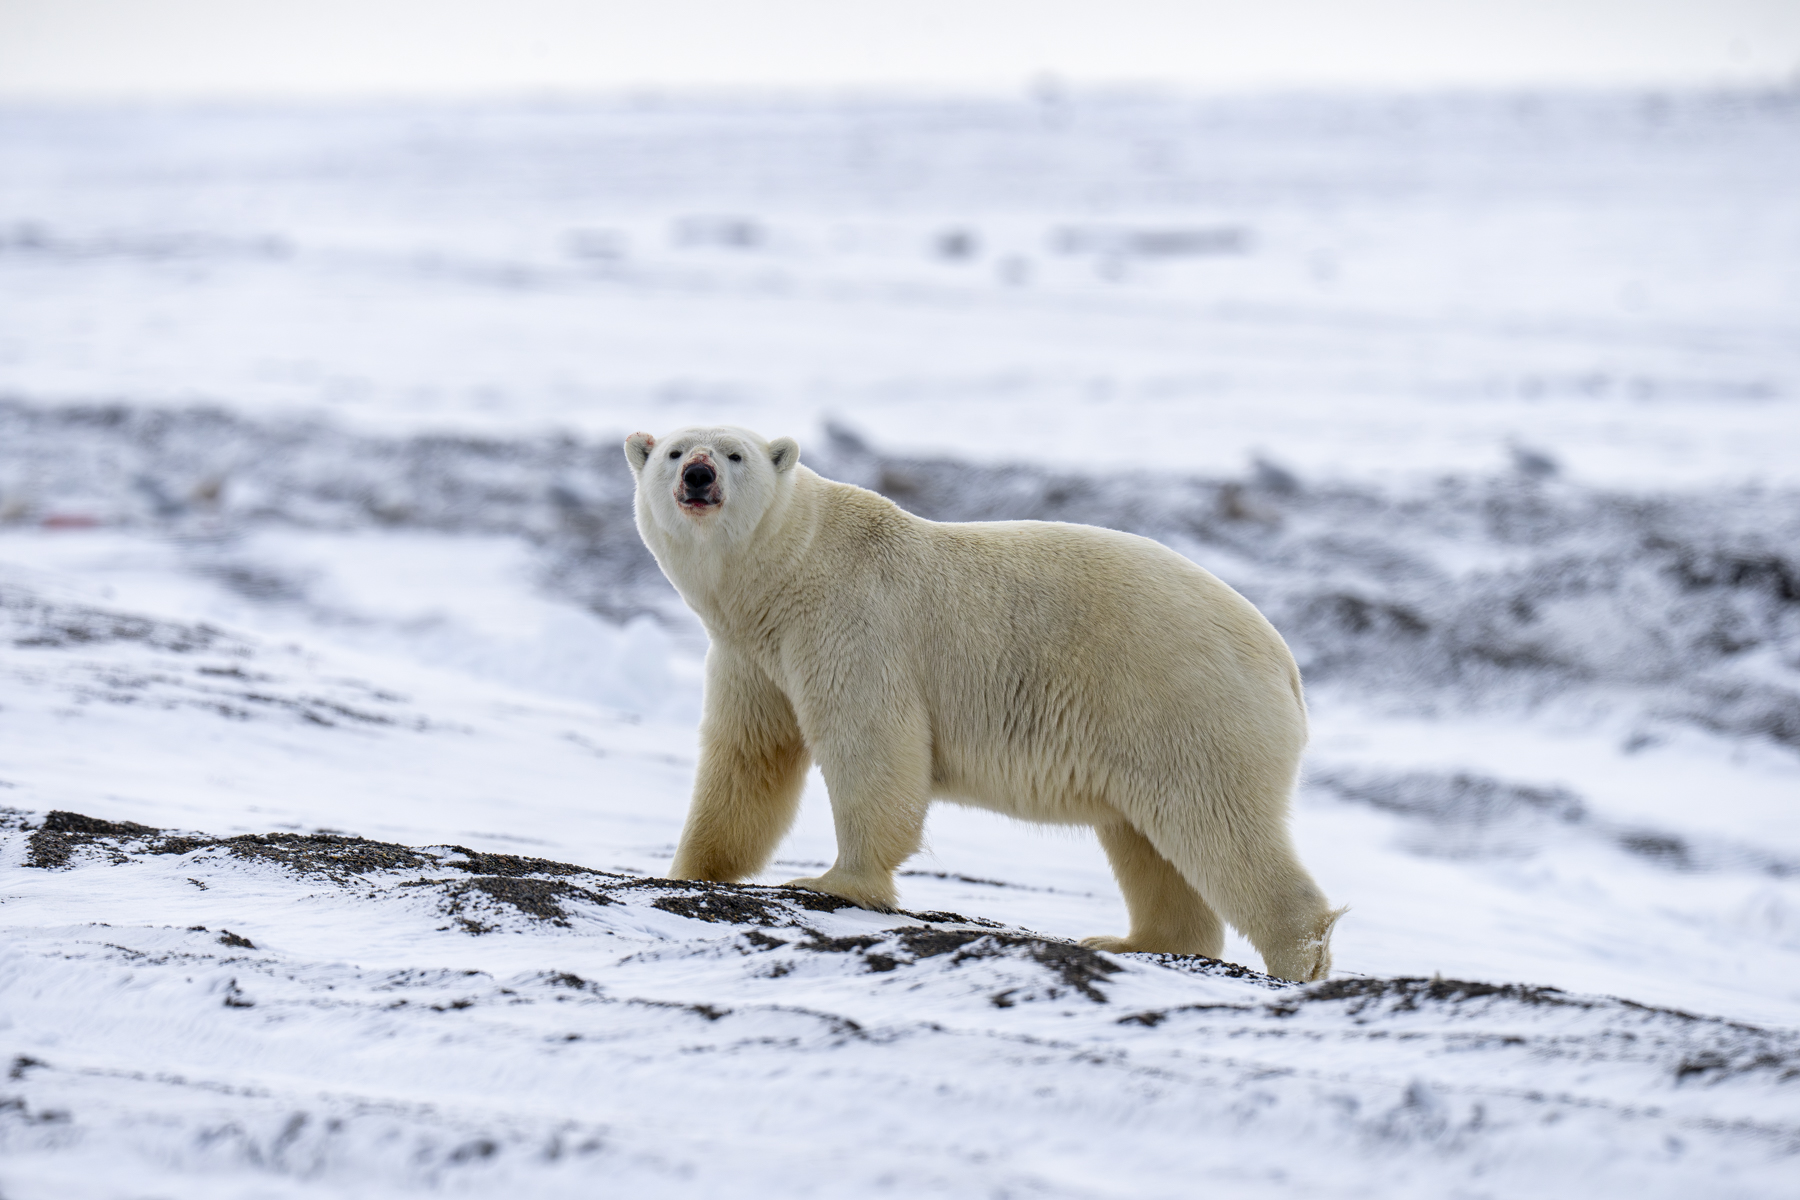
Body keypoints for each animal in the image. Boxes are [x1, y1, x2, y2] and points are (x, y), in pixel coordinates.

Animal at [625, 424, 1342, 982]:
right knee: (1148, 845)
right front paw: (690, 868)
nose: (697, 475)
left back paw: (1297, 956)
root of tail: (1285, 664)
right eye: (674, 450)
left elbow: (872, 748)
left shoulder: (853, 622)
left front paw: (831, 881)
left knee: (1218, 825)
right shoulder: (752, 655)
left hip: (1187, 705)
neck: (786, 575)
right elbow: (749, 757)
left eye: (734, 454)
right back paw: (1132, 940)